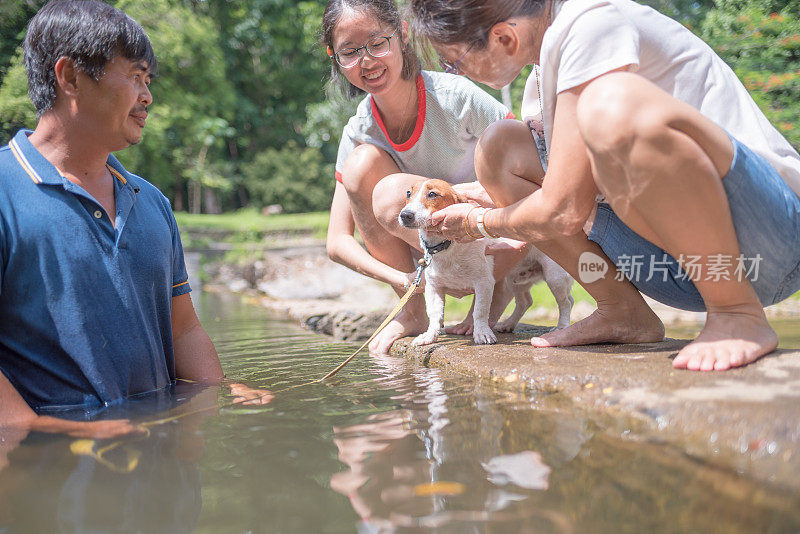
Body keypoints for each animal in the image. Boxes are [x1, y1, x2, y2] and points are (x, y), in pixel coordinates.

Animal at [400, 178, 576, 350]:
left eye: (432, 194)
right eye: (408, 193)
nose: (405, 215)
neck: (448, 247)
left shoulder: (483, 282)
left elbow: (480, 311)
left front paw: (482, 334)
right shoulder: (434, 287)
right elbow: (435, 314)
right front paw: (430, 336)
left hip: (555, 277)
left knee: (566, 302)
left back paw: (561, 327)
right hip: (514, 279)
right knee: (525, 302)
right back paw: (508, 324)